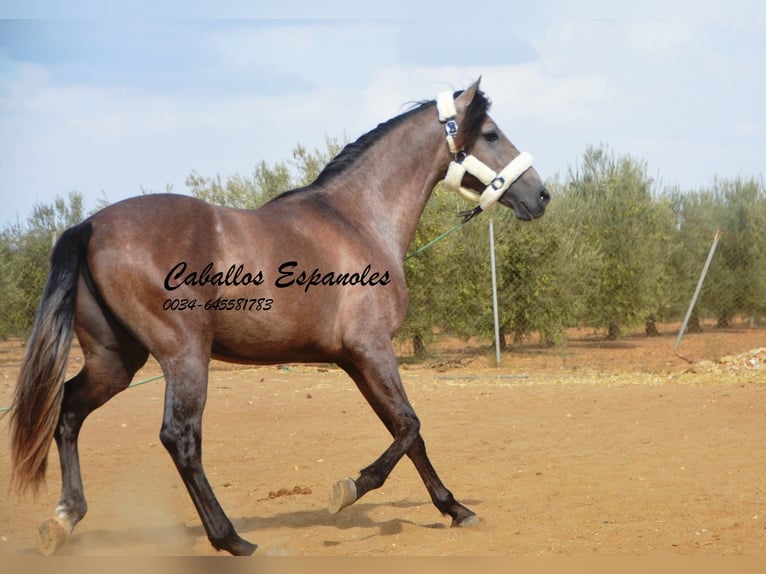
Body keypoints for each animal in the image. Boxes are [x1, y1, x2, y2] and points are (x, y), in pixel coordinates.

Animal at [9, 79, 548, 556]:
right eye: (491, 133)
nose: (540, 195)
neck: (358, 219)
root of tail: (90, 225)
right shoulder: (373, 348)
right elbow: (410, 425)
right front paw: (349, 489)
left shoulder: (354, 360)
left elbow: (406, 432)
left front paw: (454, 509)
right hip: (184, 356)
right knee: (179, 437)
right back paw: (231, 540)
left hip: (115, 360)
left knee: (68, 410)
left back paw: (64, 520)